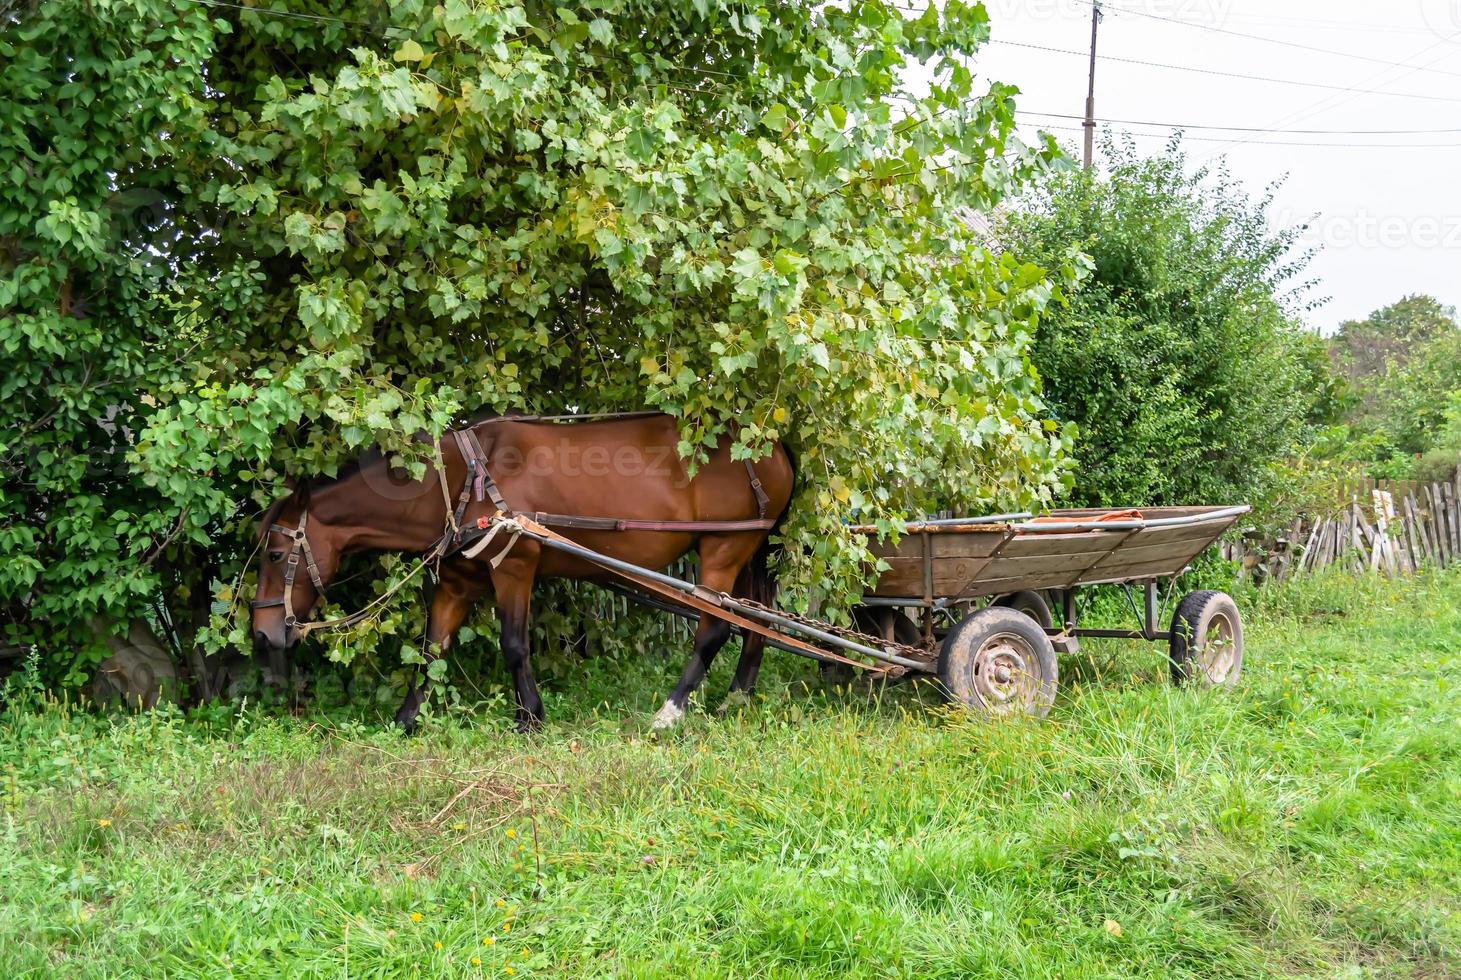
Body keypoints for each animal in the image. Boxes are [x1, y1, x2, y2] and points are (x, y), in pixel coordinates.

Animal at [252, 411, 800, 727]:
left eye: (275, 555)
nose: (261, 633)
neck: (466, 482)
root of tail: (772, 444)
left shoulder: (515, 567)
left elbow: (514, 645)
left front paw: (529, 718)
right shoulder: (458, 580)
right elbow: (431, 652)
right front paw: (405, 720)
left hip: (723, 548)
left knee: (715, 629)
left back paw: (671, 710)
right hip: (745, 551)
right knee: (755, 623)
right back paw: (737, 699)